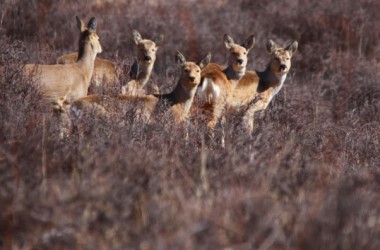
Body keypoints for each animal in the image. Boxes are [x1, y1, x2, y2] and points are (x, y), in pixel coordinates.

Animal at [68, 51, 211, 128]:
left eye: (198, 70)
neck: (176, 104)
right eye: (185, 69)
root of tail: (73, 107)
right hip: (102, 115)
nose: (192, 78)